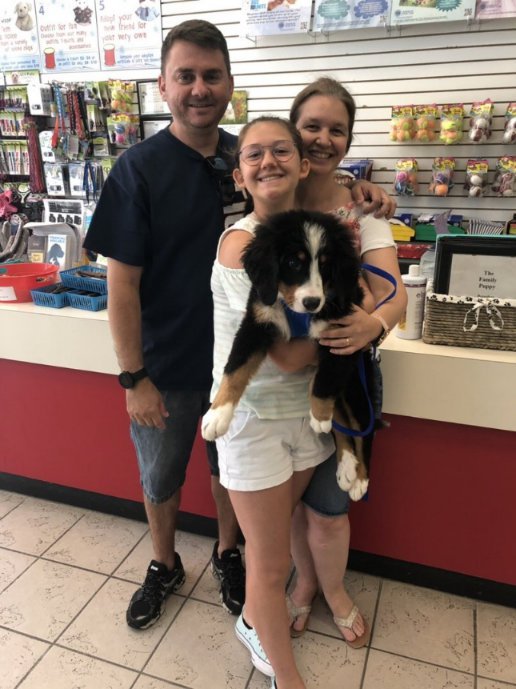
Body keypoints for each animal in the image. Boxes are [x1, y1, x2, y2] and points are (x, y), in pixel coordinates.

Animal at [203, 207, 378, 498]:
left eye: (326, 264)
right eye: (294, 262)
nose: (312, 302)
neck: (297, 313)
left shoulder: (342, 337)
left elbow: (324, 383)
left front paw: (319, 415)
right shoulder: (258, 320)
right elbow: (236, 368)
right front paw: (217, 415)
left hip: (356, 383)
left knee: (363, 425)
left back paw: (360, 479)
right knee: (341, 421)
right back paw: (346, 467)